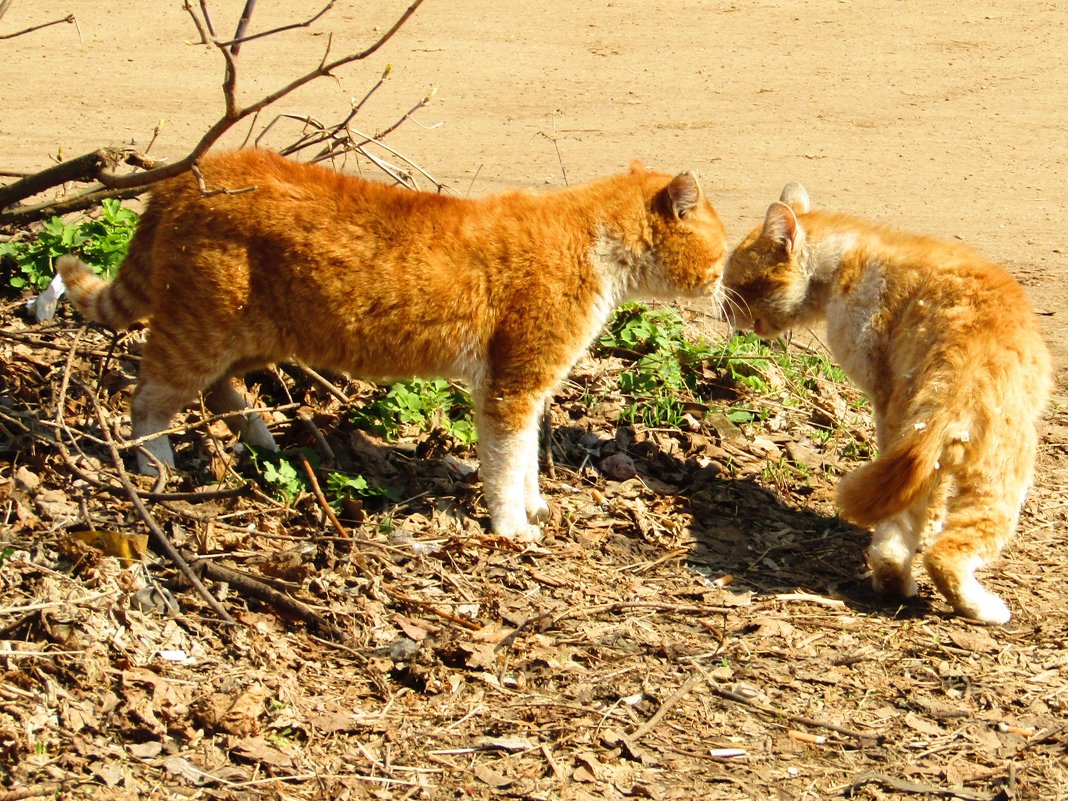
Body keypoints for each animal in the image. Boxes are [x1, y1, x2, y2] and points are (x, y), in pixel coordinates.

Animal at [56, 148, 726, 542]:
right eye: (720, 259)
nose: (723, 292)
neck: (592, 238)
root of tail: (185, 176)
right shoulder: (510, 389)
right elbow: (506, 465)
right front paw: (511, 526)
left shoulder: (527, 390)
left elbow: (530, 459)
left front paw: (533, 505)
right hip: (201, 332)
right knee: (149, 399)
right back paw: (155, 464)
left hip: (257, 335)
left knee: (221, 390)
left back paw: (261, 438)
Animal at [717, 183, 1050, 627]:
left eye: (737, 285)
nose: (722, 312)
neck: (845, 260)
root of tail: (962, 362)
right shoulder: (882, 397)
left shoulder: (892, 413)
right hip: (1003, 474)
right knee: (947, 554)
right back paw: (982, 607)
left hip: (921, 437)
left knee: (896, 536)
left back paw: (895, 580)